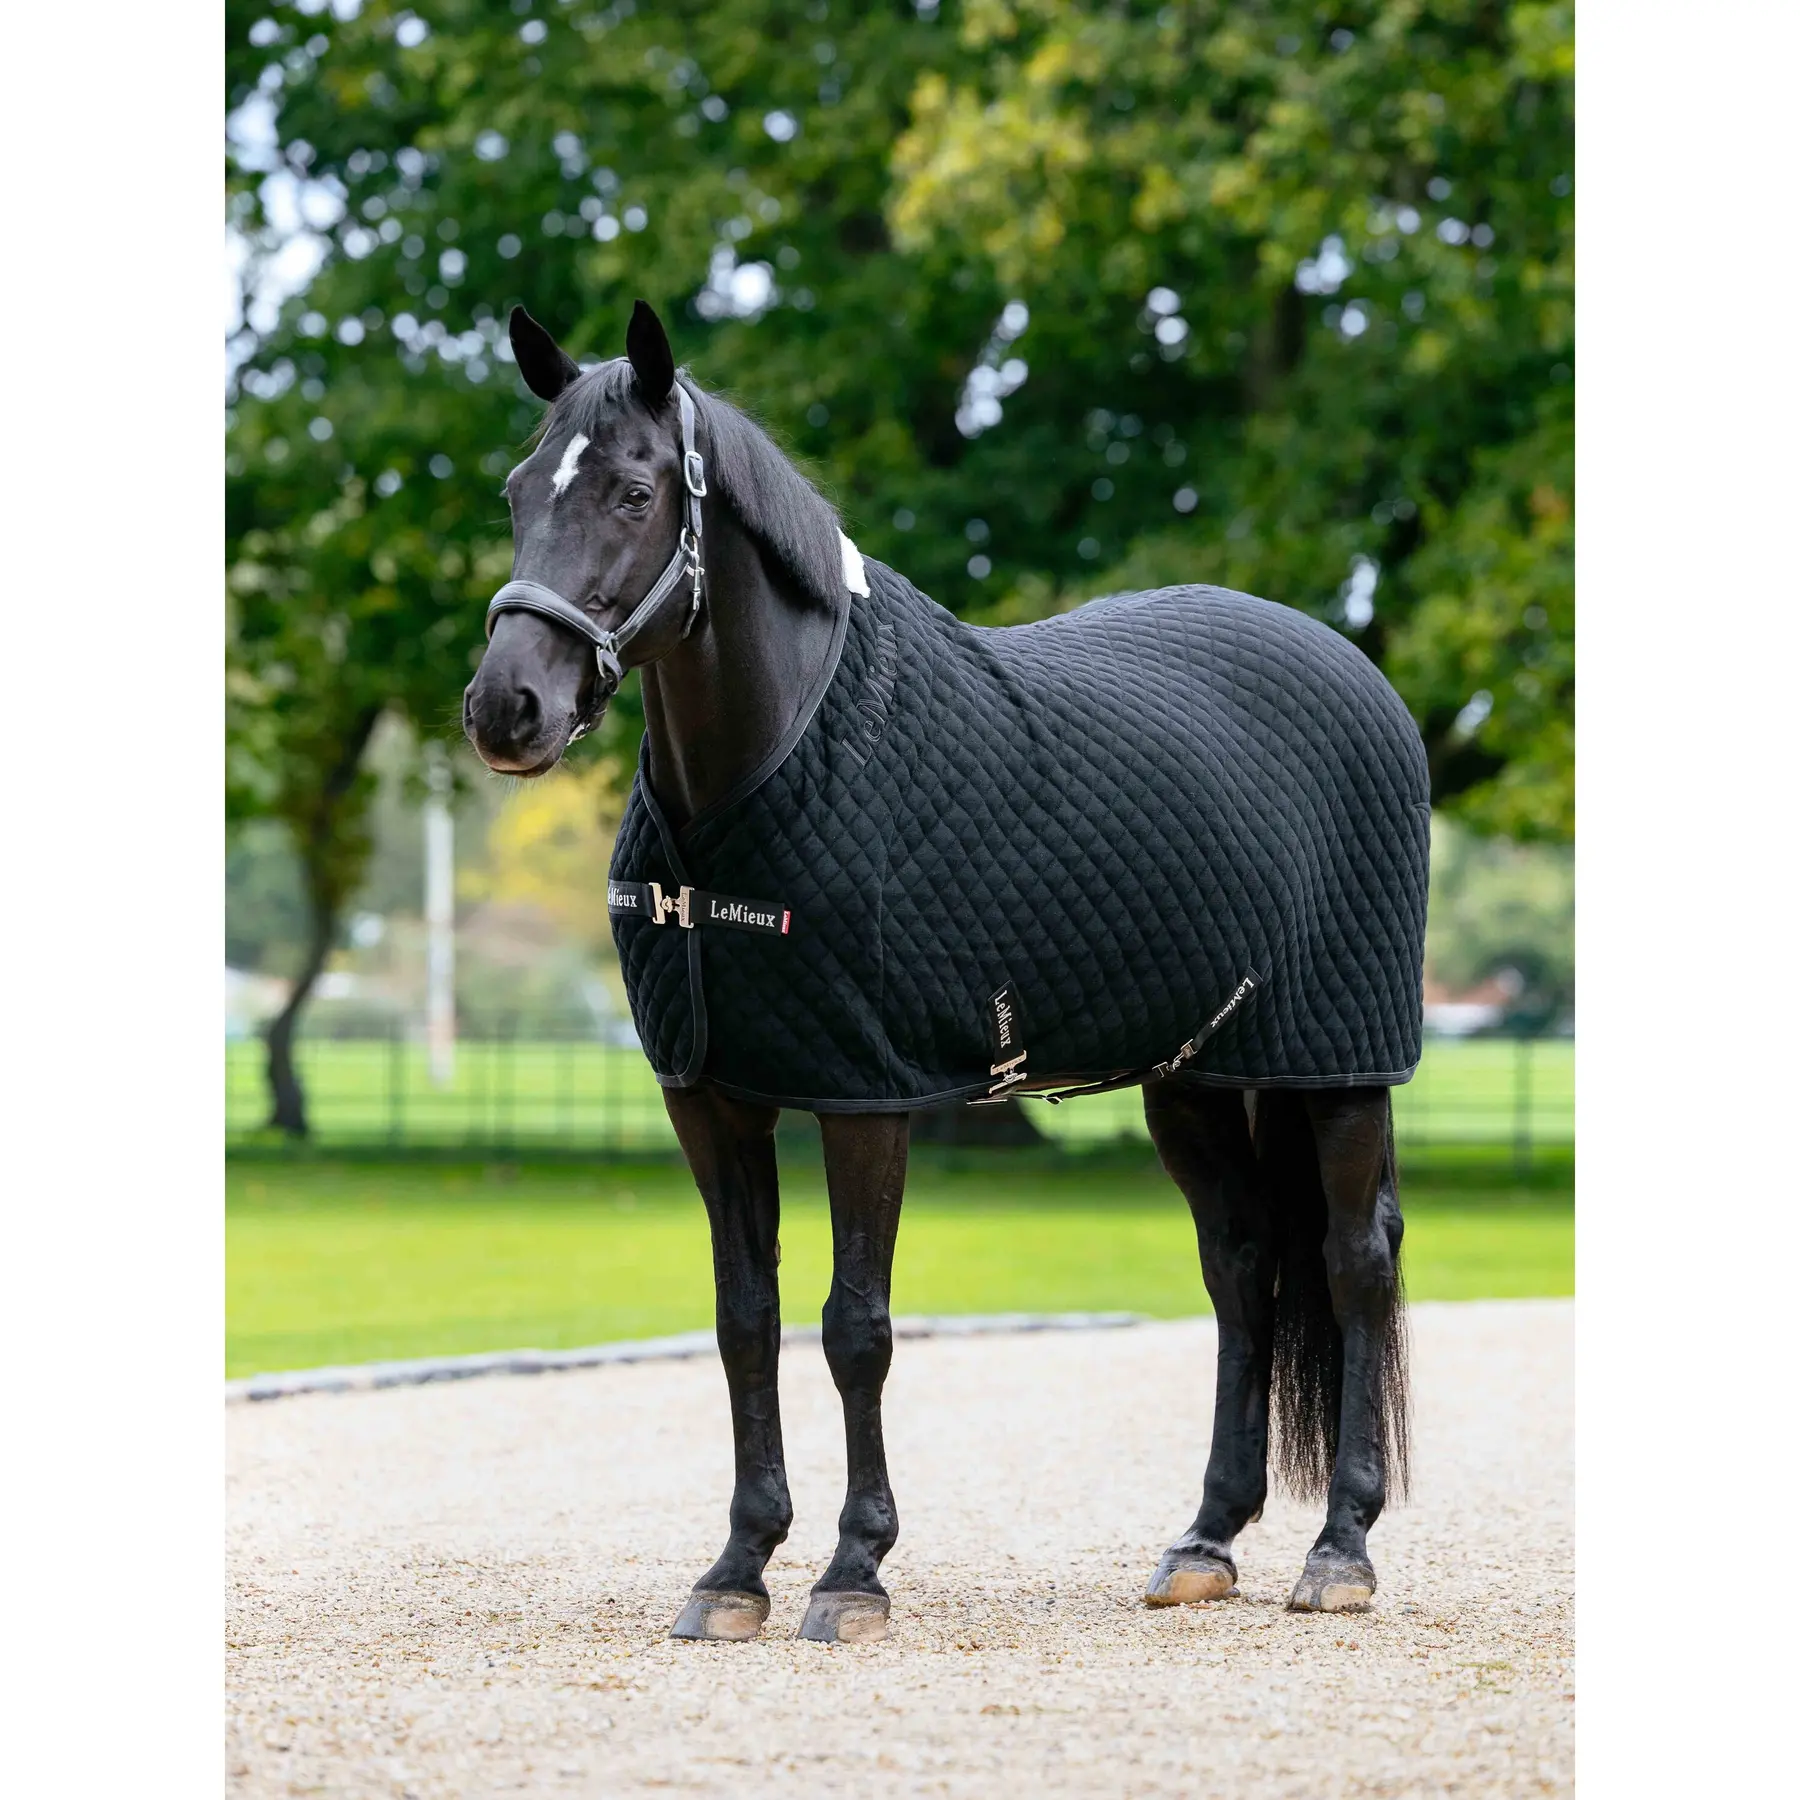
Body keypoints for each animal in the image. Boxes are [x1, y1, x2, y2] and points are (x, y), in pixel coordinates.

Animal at [464, 300, 1423, 1644]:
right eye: (516, 490)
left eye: (634, 491)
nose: (508, 708)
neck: (771, 767)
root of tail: (1353, 670)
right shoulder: (711, 1100)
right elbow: (745, 1322)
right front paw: (737, 1568)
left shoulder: (869, 1097)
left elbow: (854, 1328)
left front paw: (851, 1570)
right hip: (1191, 1077)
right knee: (1241, 1267)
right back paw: (1204, 1541)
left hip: (1336, 1068)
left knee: (1351, 1264)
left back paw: (1339, 1552)